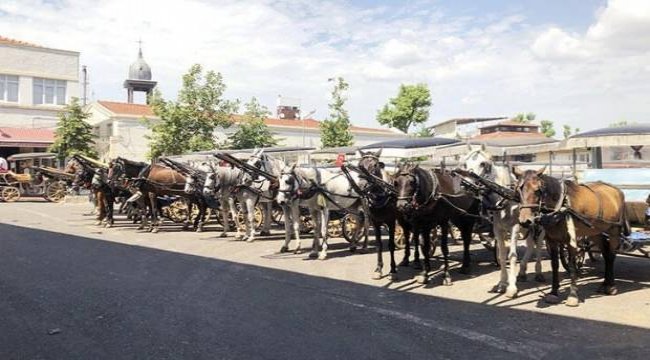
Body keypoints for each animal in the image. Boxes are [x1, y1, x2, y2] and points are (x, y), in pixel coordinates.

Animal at [458, 144, 544, 298]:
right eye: (465, 164)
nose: (465, 184)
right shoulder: (498, 229)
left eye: (483, 164)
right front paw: (502, 284)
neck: (505, 198)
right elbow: (502, 254)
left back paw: (538, 272)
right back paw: (522, 272)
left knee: (538, 244)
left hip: (539, 226)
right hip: (527, 226)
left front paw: (511, 288)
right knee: (530, 245)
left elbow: (512, 255)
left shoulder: (515, 228)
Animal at [512, 167, 624, 306]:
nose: (525, 221)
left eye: (538, 190)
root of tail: (616, 189)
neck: (561, 206)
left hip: (614, 231)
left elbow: (572, 265)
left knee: (611, 255)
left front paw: (573, 295)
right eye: (519, 189)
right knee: (606, 254)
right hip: (596, 232)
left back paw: (611, 286)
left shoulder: (572, 241)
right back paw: (604, 284)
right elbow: (555, 265)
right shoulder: (552, 240)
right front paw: (553, 292)